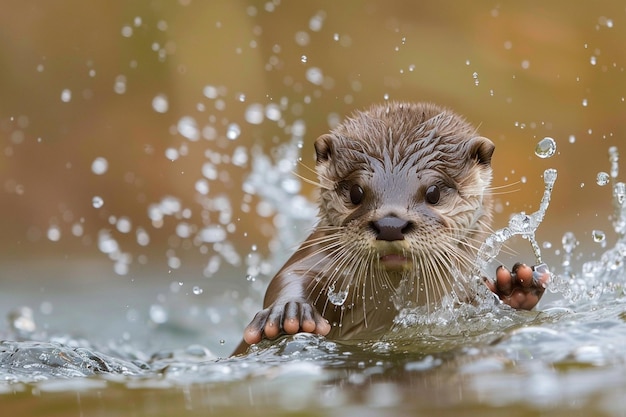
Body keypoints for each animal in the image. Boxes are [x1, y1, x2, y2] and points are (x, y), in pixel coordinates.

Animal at [232, 101, 548, 354]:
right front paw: (290, 310)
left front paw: (515, 286)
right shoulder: (318, 255)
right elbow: (291, 274)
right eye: (356, 192)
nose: (390, 224)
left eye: (433, 192)